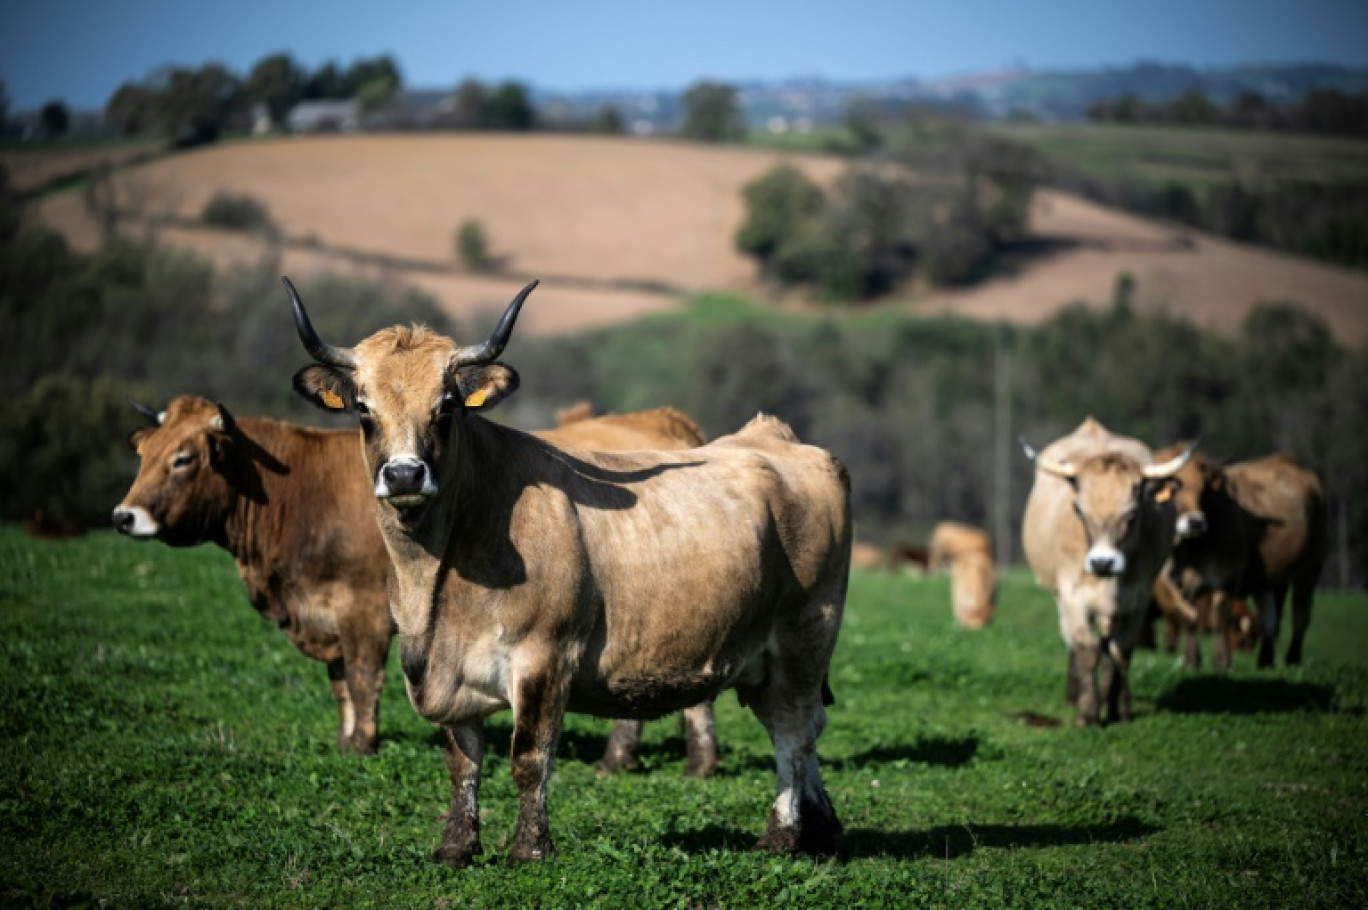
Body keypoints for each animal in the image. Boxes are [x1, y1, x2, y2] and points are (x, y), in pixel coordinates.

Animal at [283, 275, 848, 859]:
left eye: (446, 407)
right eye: (364, 411)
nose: (403, 475)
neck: (436, 581)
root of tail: (771, 437)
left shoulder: (543, 658)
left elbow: (530, 759)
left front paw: (530, 849)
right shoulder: (442, 671)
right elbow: (461, 761)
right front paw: (456, 847)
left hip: (805, 637)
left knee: (793, 731)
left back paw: (781, 834)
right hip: (764, 657)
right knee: (804, 727)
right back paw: (821, 824)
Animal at [1023, 416, 1192, 722]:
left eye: (1132, 513)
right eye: (1079, 510)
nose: (1102, 562)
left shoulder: (1138, 598)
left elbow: (1121, 650)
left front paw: (1118, 708)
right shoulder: (1072, 596)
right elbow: (1086, 649)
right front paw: (1087, 712)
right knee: (1072, 640)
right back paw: (1073, 694)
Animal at [1154, 446, 1324, 667]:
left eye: (1202, 489)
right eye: (1170, 491)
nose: (1196, 523)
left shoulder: (1228, 576)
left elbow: (1219, 618)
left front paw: (1222, 661)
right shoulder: (1178, 582)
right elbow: (1189, 617)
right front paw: (1192, 660)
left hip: (1310, 569)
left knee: (1300, 614)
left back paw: (1292, 659)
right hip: (1268, 579)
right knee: (1270, 616)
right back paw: (1265, 661)